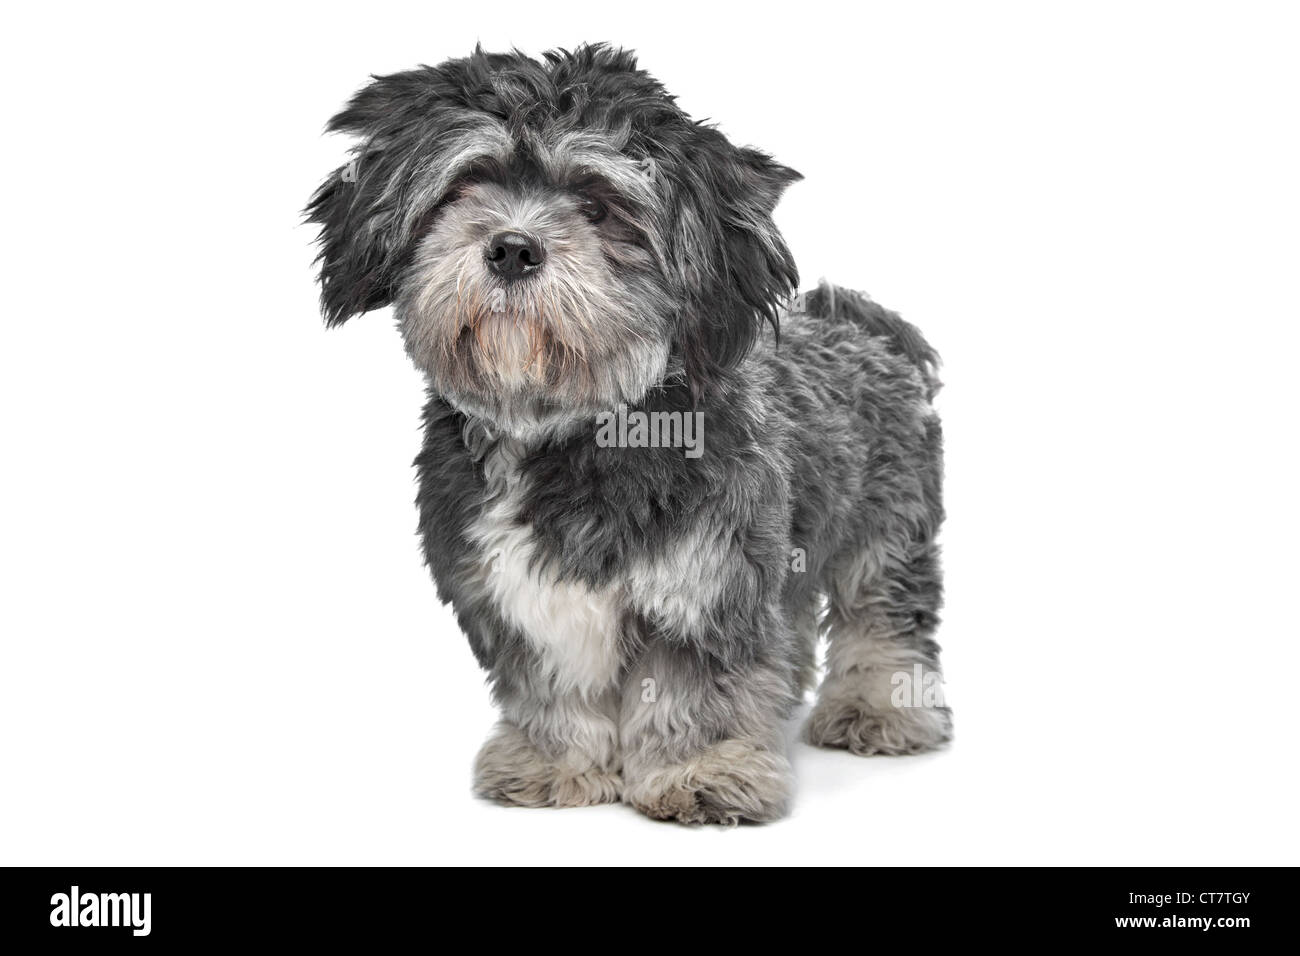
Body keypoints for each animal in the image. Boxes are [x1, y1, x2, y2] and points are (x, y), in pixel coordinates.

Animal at [308, 42, 951, 822]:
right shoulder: (518, 595)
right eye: (467, 184)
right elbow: (552, 687)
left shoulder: (708, 578)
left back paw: (880, 709)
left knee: (886, 618)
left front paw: (702, 769)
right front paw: (554, 763)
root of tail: (864, 321)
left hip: (887, 531)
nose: (512, 248)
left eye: (597, 206)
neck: (570, 430)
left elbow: (698, 684)